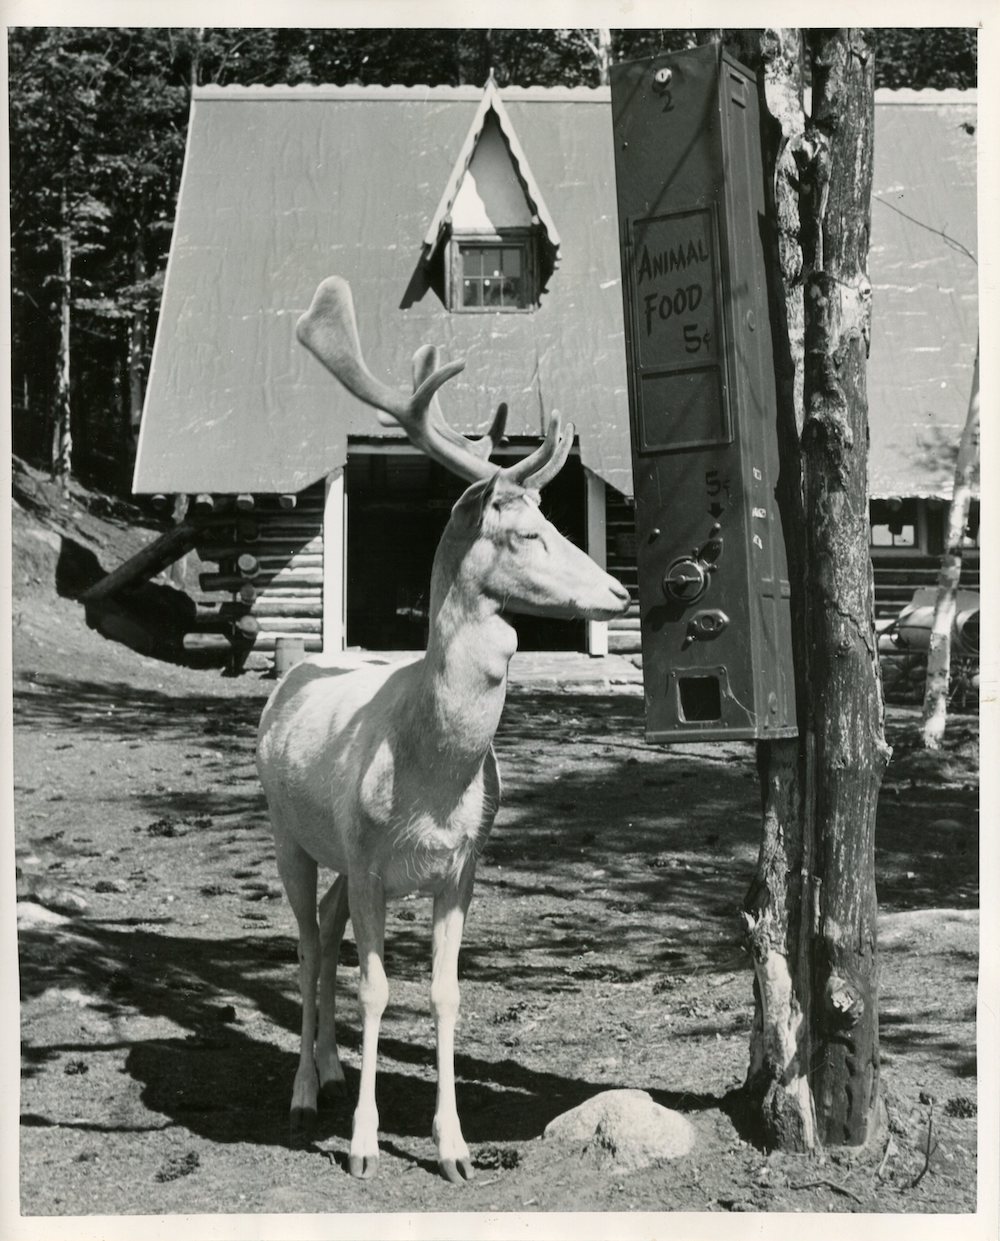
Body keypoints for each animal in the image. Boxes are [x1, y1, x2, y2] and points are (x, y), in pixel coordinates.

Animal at [260, 276, 635, 1186]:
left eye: (560, 520)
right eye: (528, 531)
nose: (618, 591)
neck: (432, 776)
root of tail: (290, 674)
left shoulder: (462, 862)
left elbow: (444, 991)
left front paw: (456, 1147)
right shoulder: (367, 856)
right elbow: (376, 988)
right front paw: (363, 1146)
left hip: (338, 854)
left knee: (326, 931)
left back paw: (329, 1071)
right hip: (290, 832)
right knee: (305, 942)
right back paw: (304, 1091)